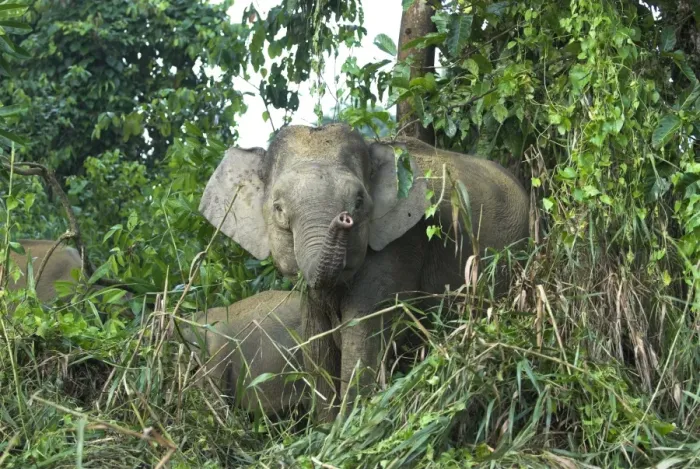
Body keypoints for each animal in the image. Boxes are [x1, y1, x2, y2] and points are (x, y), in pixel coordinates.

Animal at [198, 123, 530, 421]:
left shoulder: (400, 242)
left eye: (359, 203)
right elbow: (315, 336)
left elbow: (363, 332)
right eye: (278, 208)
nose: (343, 219)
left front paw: (346, 428)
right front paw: (324, 431)